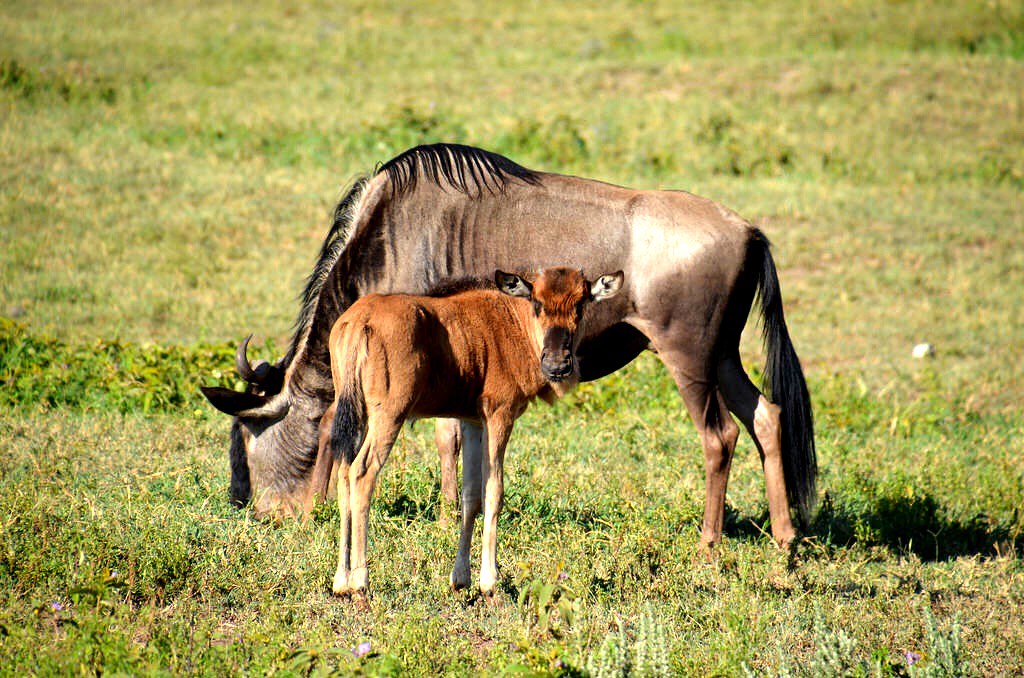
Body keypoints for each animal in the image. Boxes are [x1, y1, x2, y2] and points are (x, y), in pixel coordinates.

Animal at [327, 266, 618, 602]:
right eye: (538, 303)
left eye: (580, 304)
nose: (557, 365)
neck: (512, 321)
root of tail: (359, 321)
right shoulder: (499, 416)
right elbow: (493, 492)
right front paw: (490, 582)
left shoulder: (473, 422)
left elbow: (470, 495)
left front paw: (460, 579)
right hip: (388, 415)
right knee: (362, 473)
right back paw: (360, 582)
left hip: (355, 411)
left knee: (343, 471)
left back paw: (340, 580)